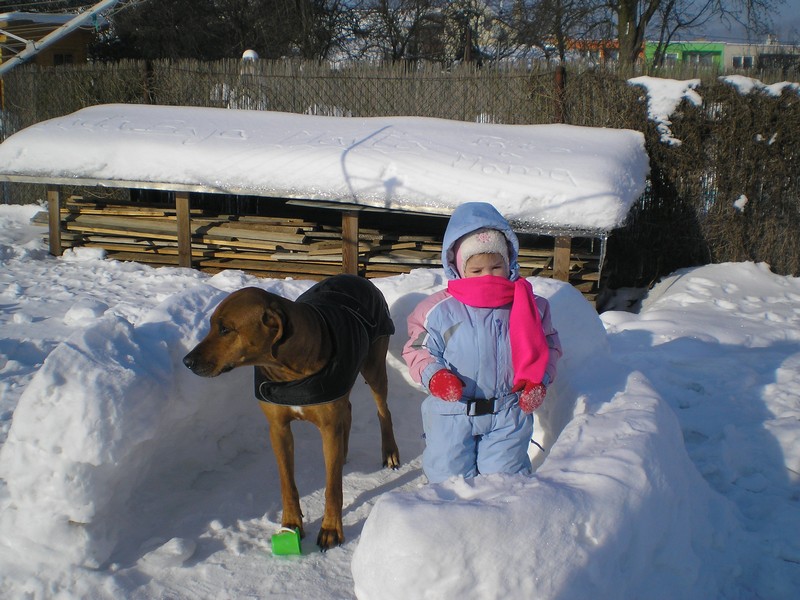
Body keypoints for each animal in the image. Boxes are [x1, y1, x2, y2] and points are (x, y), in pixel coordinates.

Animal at [185, 274, 404, 552]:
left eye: (225, 329)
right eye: (211, 325)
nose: (187, 361)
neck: (288, 371)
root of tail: (356, 277)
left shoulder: (328, 426)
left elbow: (332, 487)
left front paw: (331, 529)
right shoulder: (278, 428)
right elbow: (287, 482)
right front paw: (291, 523)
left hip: (374, 363)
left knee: (382, 410)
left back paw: (389, 452)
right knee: (347, 410)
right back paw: (343, 453)